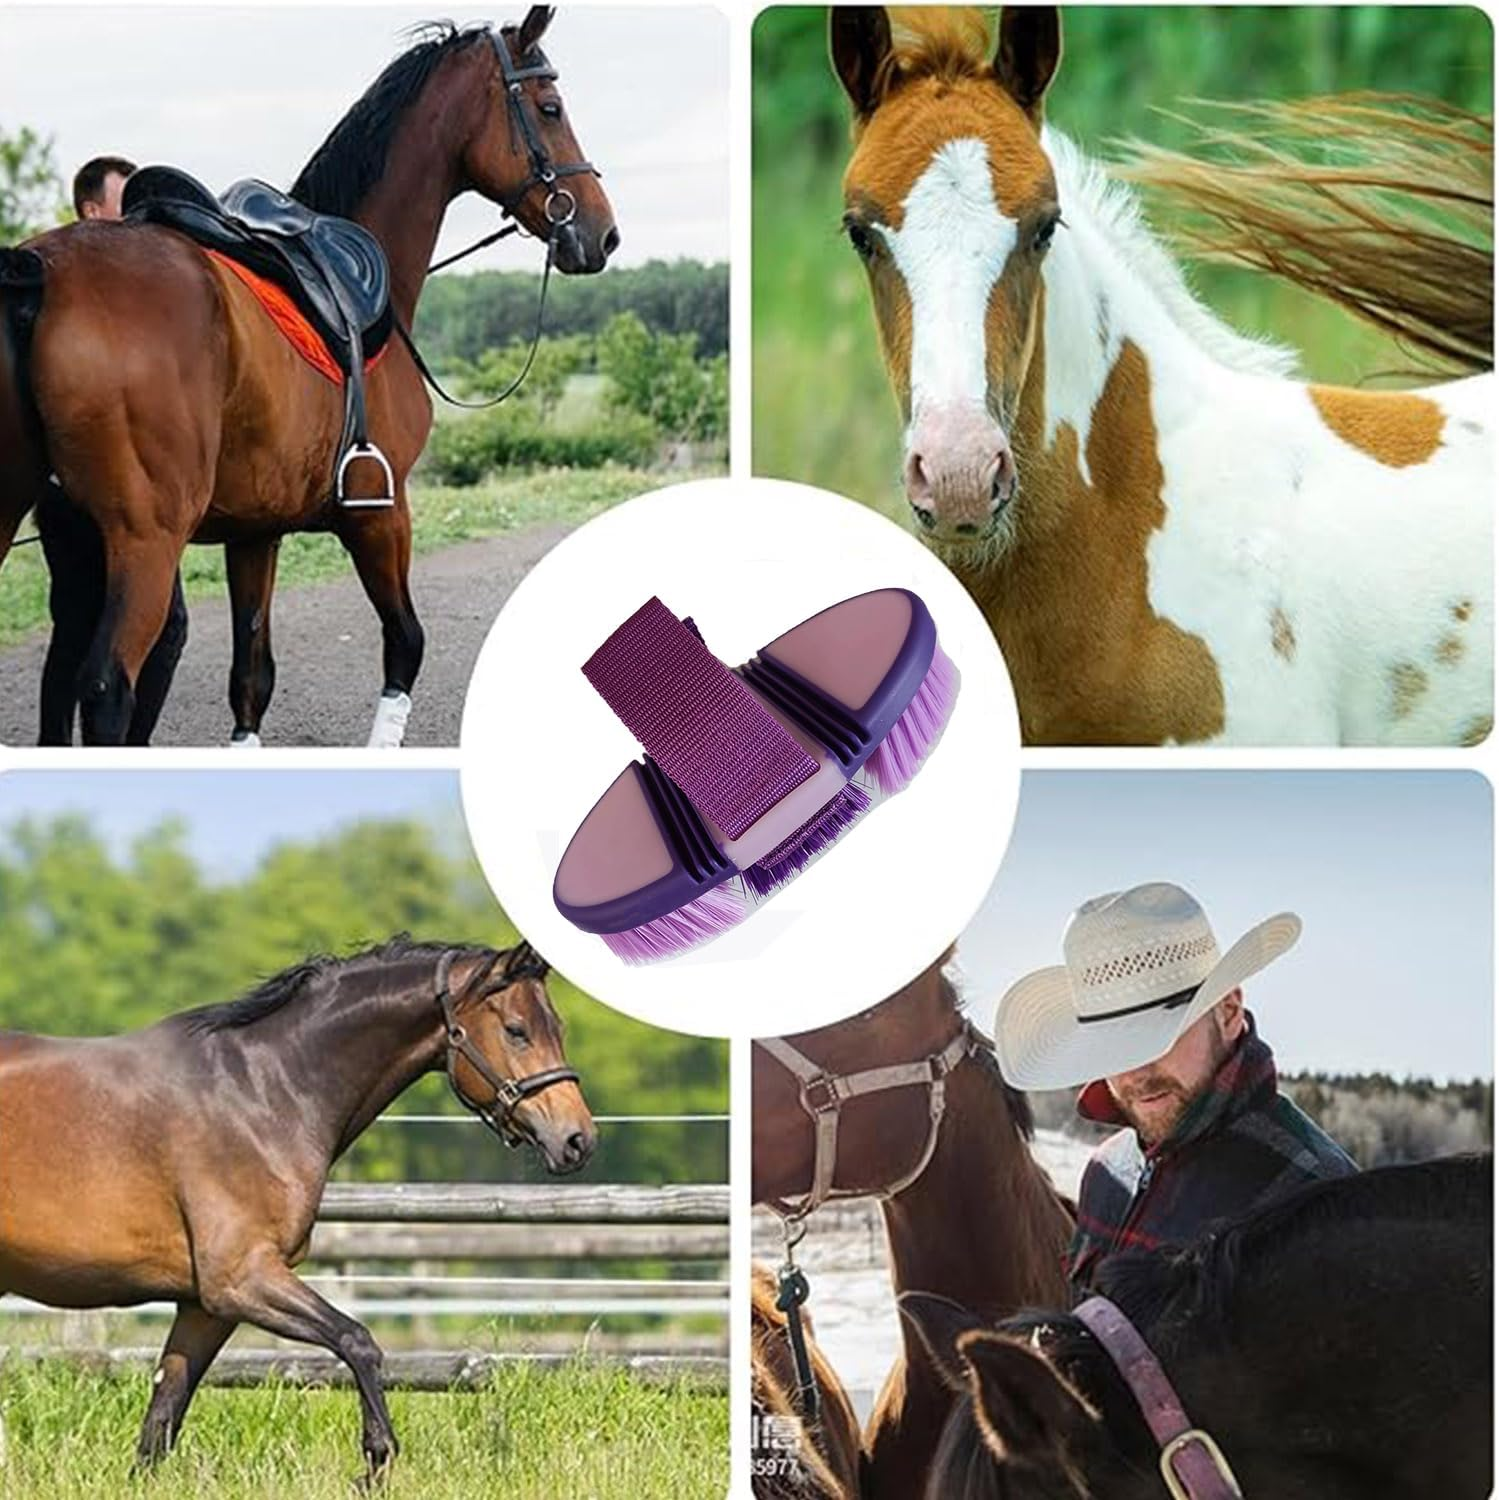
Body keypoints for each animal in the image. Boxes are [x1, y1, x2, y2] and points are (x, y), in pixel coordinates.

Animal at [0, 10, 617, 746]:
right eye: (550, 108)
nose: (602, 232)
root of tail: (39, 273)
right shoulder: (379, 513)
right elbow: (405, 644)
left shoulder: (253, 533)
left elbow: (251, 680)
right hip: (144, 541)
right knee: (105, 686)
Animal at [0, 937, 594, 1480]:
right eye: (517, 1030)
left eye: (558, 1027)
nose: (578, 1141)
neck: (262, 1092)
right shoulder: (242, 1279)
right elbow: (358, 1341)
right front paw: (376, 1460)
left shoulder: (206, 1307)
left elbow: (162, 1420)